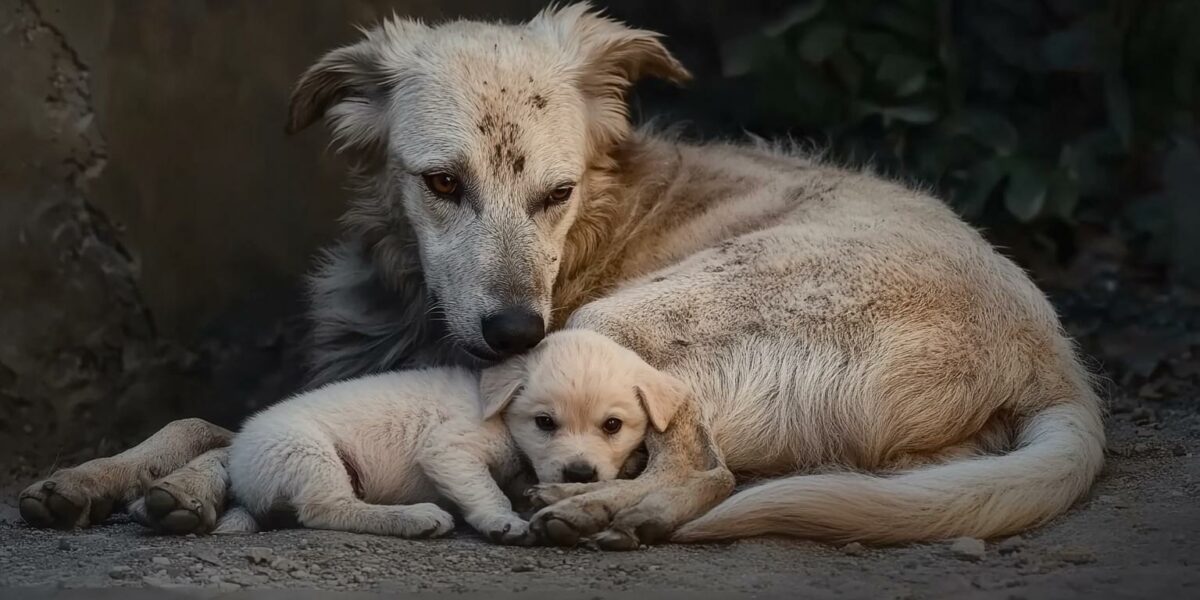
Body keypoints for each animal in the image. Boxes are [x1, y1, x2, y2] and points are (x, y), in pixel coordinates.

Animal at [219, 328, 681, 544]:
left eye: (612, 425)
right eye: (545, 423)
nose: (580, 474)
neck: (499, 411)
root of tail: (237, 465)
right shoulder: (449, 449)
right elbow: (486, 490)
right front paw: (502, 522)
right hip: (306, 453)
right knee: (326, 509)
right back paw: (415, 518)